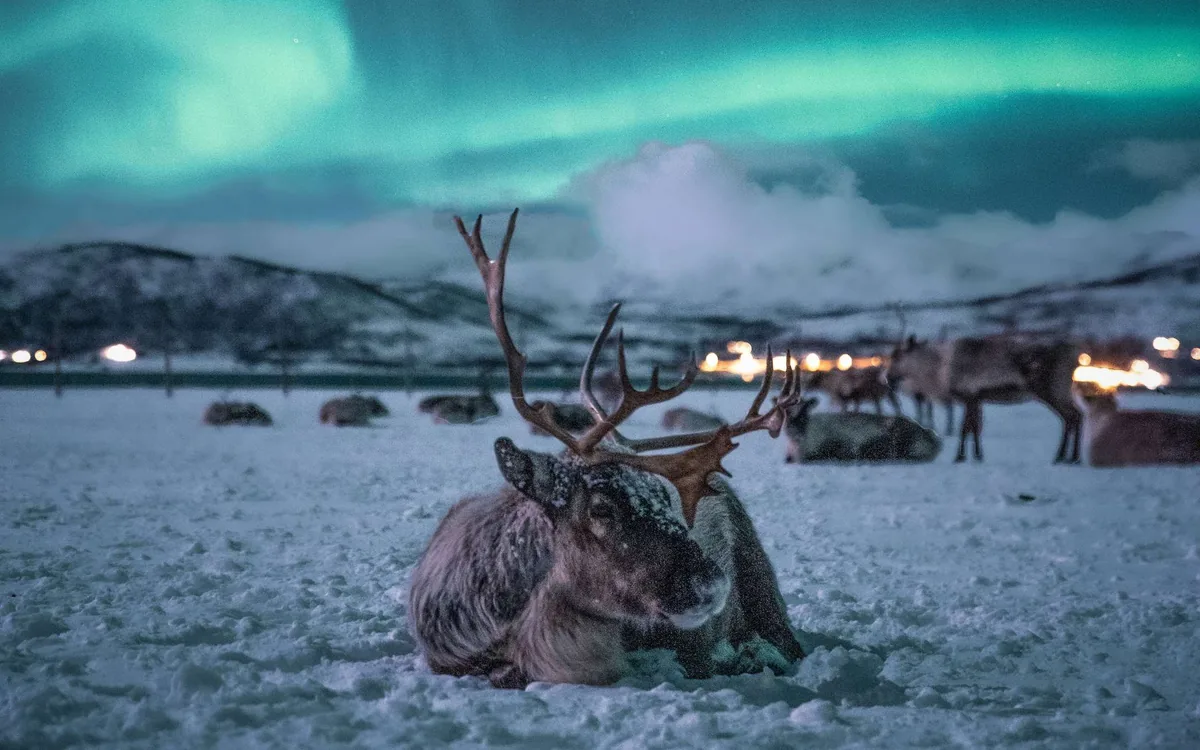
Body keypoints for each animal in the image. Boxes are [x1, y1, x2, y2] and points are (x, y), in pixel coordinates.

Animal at [888, 335, 1081, 463]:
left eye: (897, 356)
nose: (887, 378)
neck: (938, 369)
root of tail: (1074, 357)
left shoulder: (968, 396)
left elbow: (965, 428)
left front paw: (959, 457)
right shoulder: (976, 398)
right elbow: (975, 427)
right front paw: (977, 456)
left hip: (1050, 390)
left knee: (1071, 417)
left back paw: (1062, 456)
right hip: (1061, 392)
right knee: (1076, 416)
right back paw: (1072, 457)